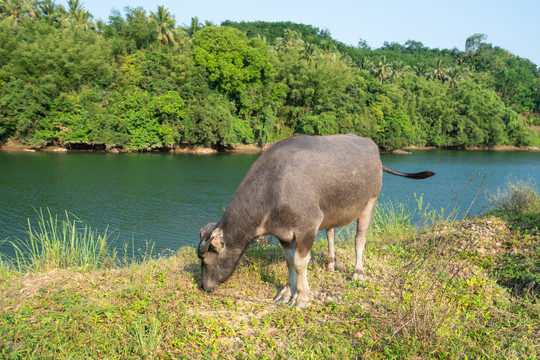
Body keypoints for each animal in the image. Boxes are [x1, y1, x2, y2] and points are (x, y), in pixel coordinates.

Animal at [198, 134, 434, 308]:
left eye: (206, 259)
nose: (203, 286)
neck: (274, 187)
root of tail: (374, 150)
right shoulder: (283, 233)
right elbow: (289, 260)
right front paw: (286, 292)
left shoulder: (308, 226)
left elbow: (300, 262)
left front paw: (302, 296)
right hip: (331, 211)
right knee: (330, 234)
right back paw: (331, 264)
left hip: (371, 200)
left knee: (360, 239)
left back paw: (358, 273)